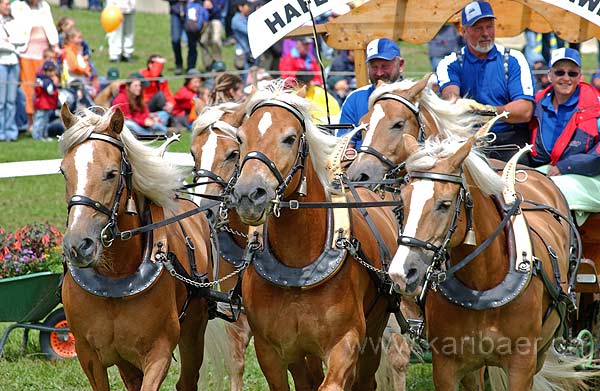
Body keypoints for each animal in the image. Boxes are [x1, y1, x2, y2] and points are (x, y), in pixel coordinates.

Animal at [59, 105, 219, 391]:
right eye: (64, 171)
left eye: (111, 173)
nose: (78, 245)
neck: (115, 278)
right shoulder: (88, 355)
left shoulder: (159, 351)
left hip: (193, 331)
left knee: (187, 380)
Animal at [390, 120, 592, 391]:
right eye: (402, 202)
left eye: (444, 204)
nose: (401, 273)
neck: (482, 286)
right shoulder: (446, 364)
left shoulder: (522, 364)